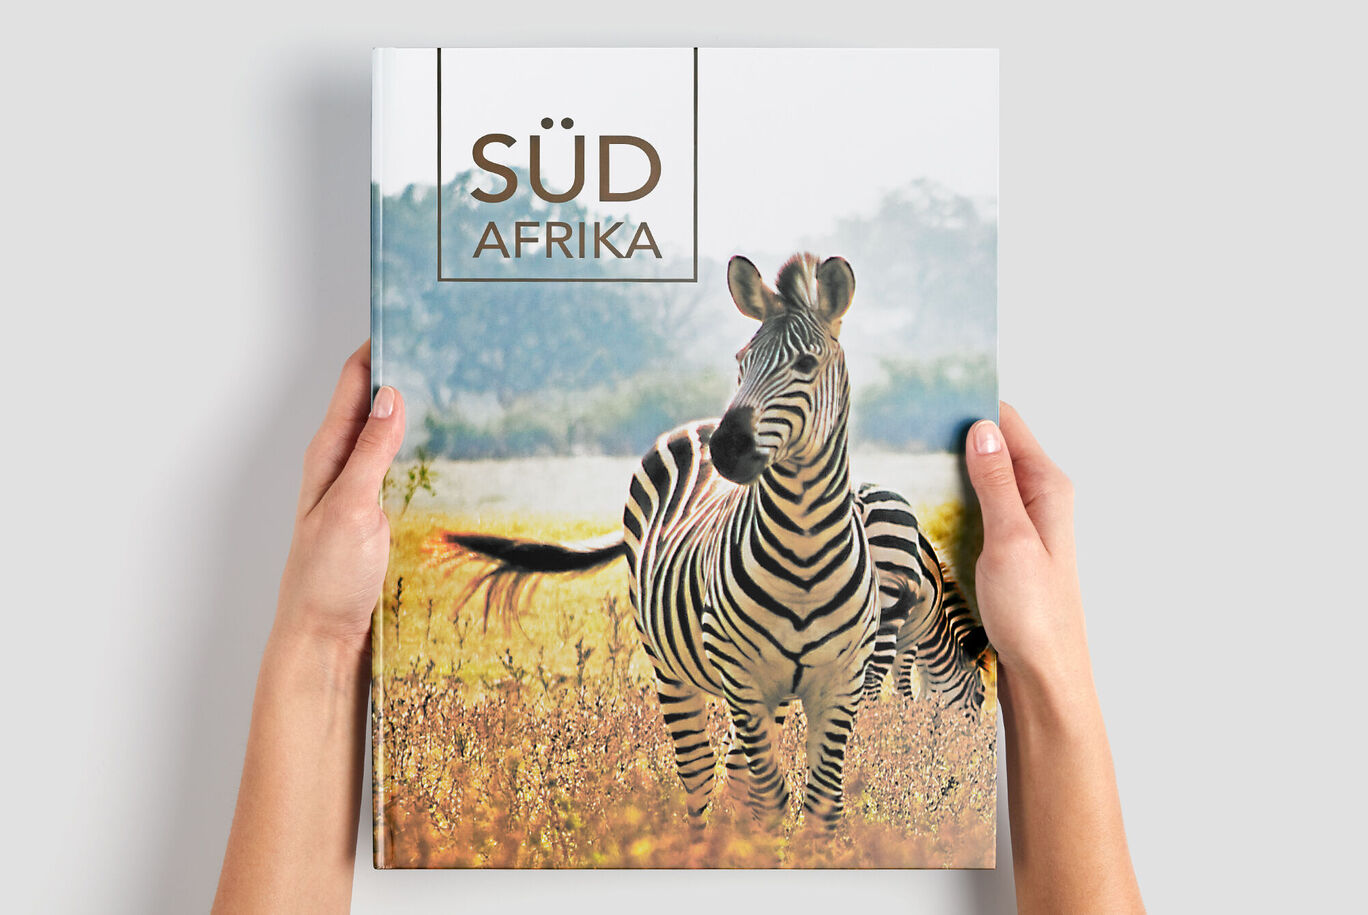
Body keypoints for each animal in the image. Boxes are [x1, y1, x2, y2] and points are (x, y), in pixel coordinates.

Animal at [439, 253, 990, 829]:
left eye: (806, 365)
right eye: (741, 361)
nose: (727, 448)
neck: (805, 551)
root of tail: (698, 424)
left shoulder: (836, 682)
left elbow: (823, 800)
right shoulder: (754, 678)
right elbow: (774, 791)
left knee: (732, 769)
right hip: (673, 666)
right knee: (700, 772)